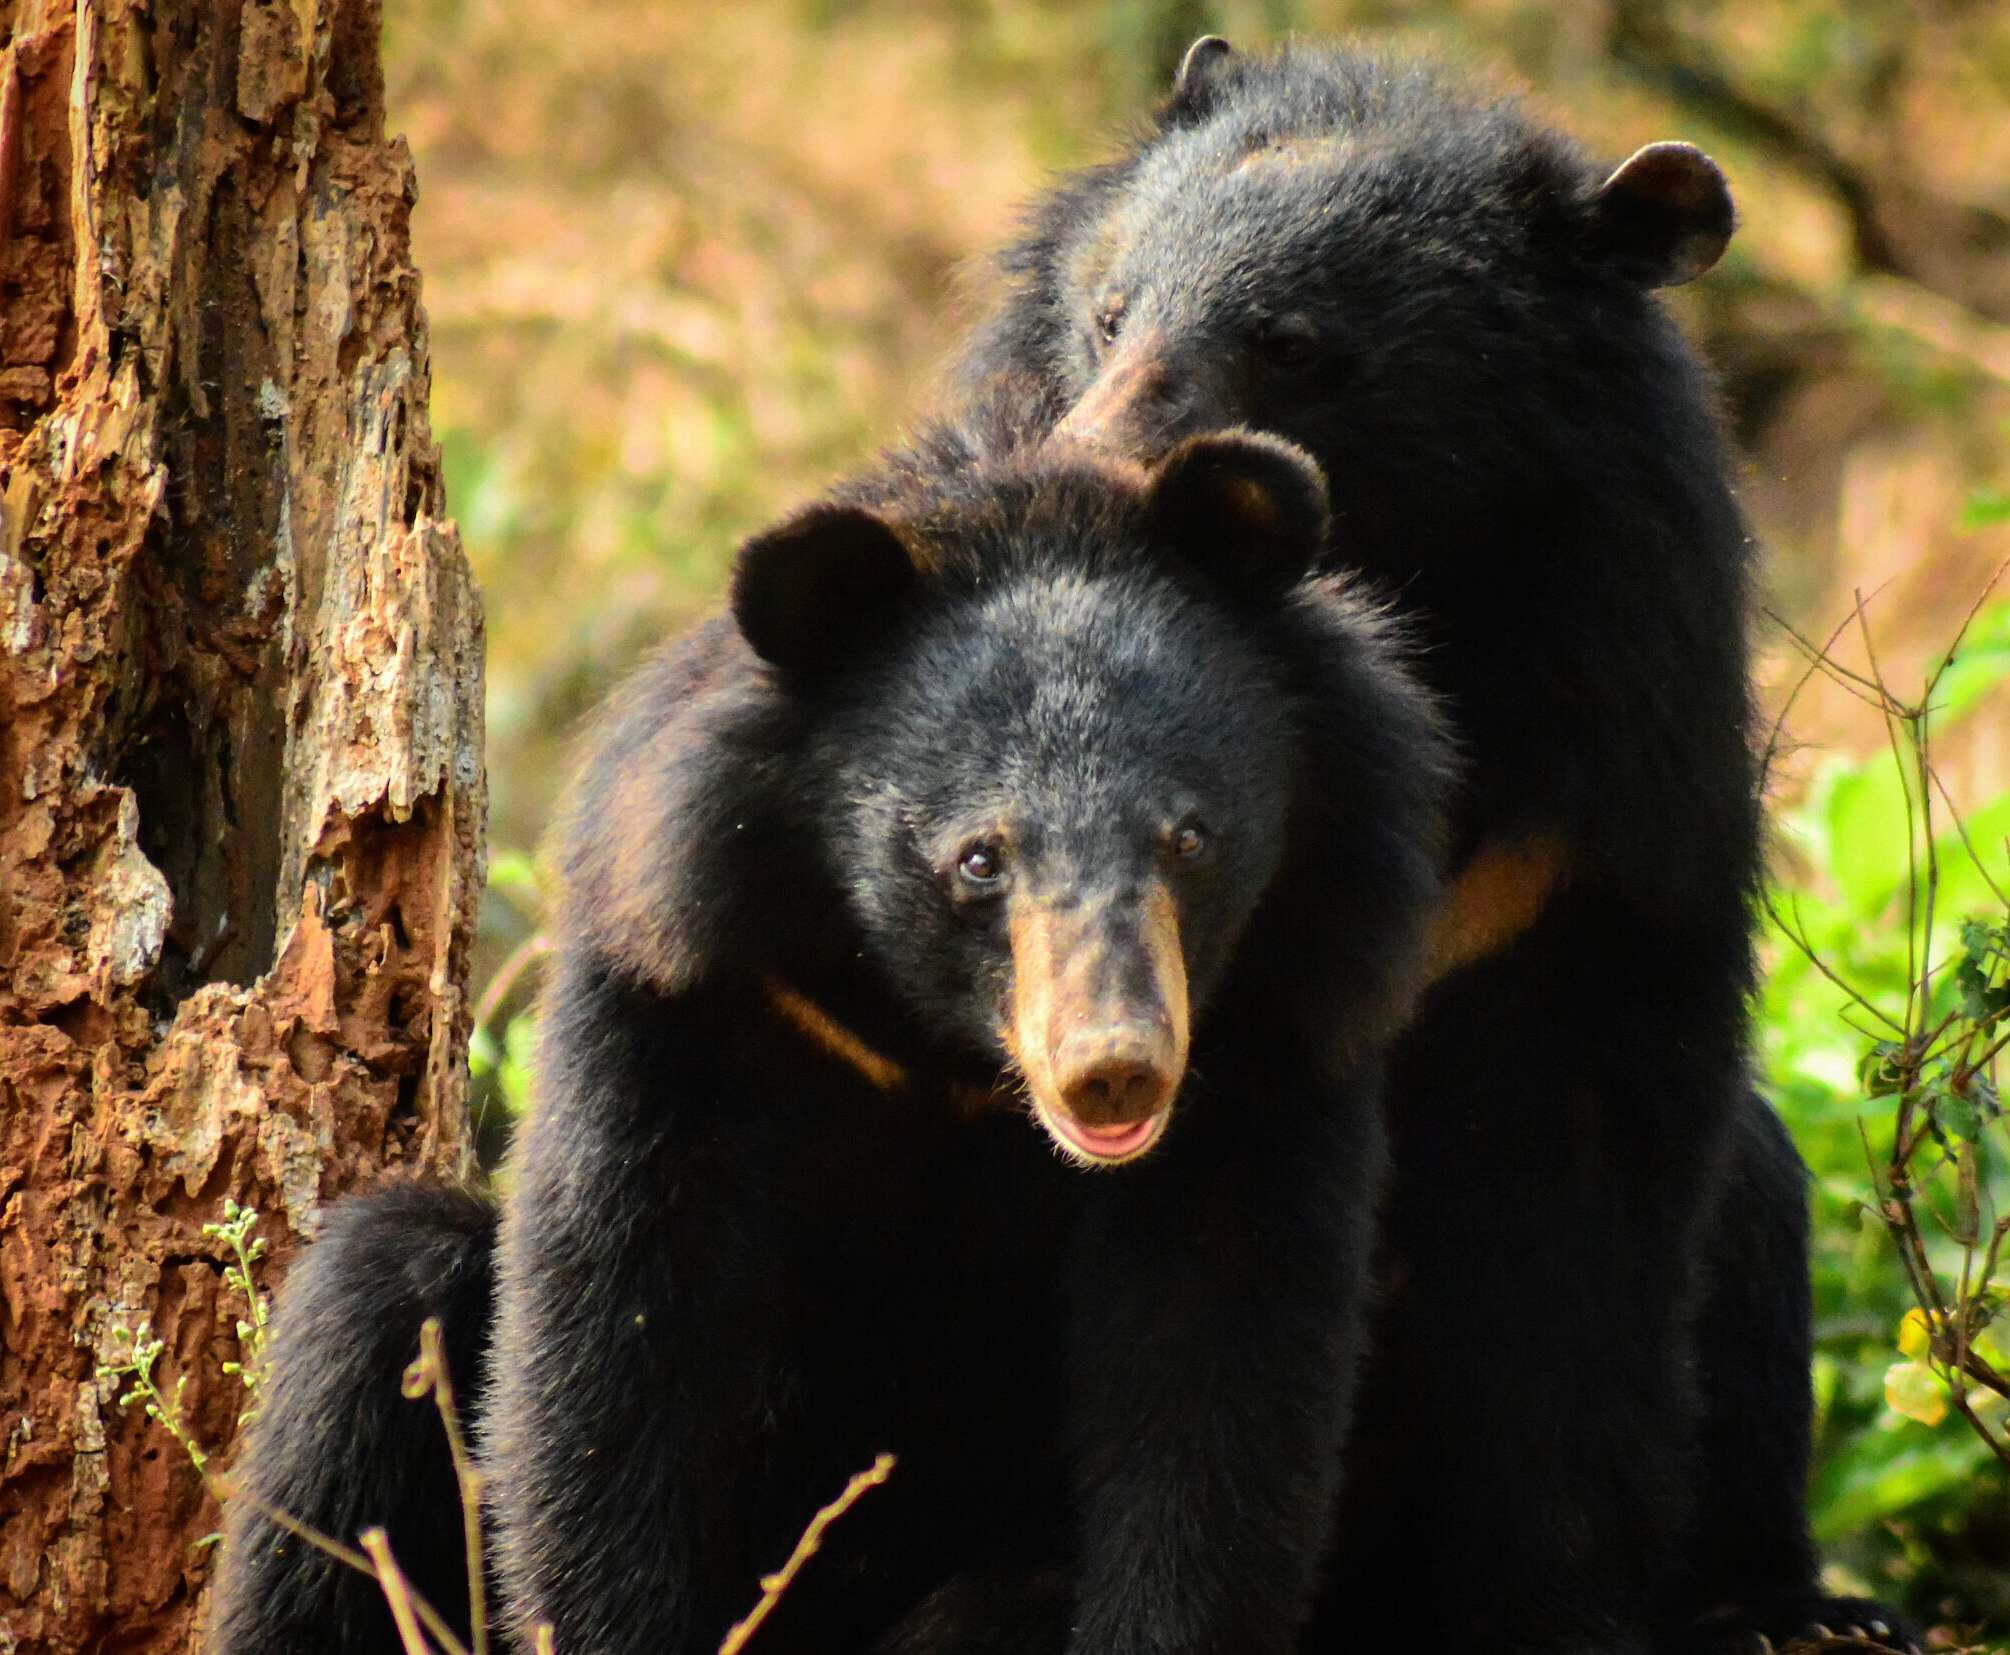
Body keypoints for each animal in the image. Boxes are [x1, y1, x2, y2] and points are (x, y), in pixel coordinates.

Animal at [212, 430, 1455, 1655]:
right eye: (980, 858)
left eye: (1189, 837)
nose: (1113, 1068)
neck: (948, 1051)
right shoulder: (688, 996)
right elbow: (616, 1355)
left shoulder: (1279, 1029)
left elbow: (1215, 1390)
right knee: (375, 1312)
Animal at [944, 38, 1913, 1655]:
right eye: (1108, 312)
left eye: (1289, 344)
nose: (1081, 475)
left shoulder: (1594, 800)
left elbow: (1583, 1214)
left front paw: (1563, 1597)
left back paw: (1793, 1605)